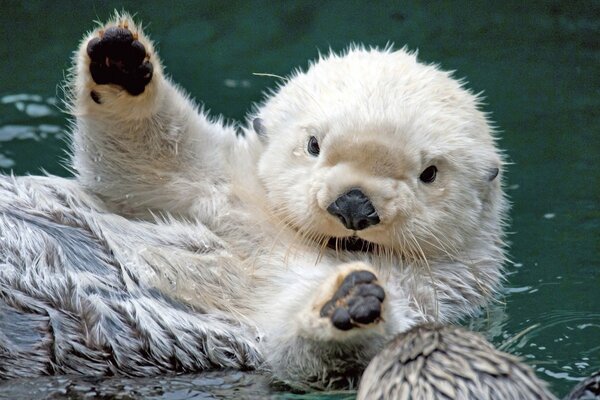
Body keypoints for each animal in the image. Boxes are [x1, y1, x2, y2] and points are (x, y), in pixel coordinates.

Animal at [0, 13, 506, 390]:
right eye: (314, 145)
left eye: (429, 173)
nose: (354, 206)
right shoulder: (222, 188)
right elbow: (148, 160)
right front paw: (121, 61)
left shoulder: (428, 298)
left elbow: (301, 348)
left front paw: (347, 301)